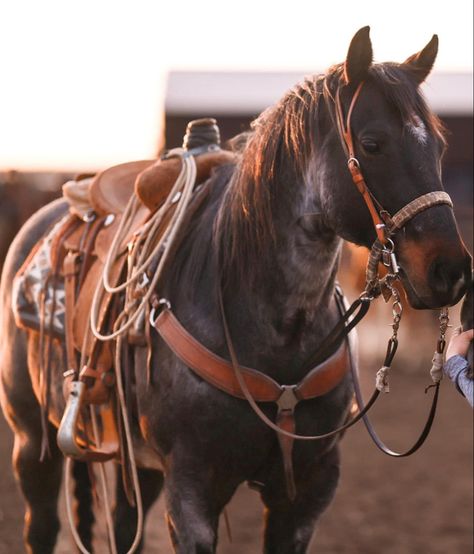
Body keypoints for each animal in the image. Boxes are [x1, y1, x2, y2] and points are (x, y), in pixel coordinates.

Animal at [0, 27, 470, 552]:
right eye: (372, 144)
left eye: (438, 148)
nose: (449, 269)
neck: (274, 326)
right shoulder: (191, 491)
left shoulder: (307, 493)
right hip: (31, 441)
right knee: (40, 523)